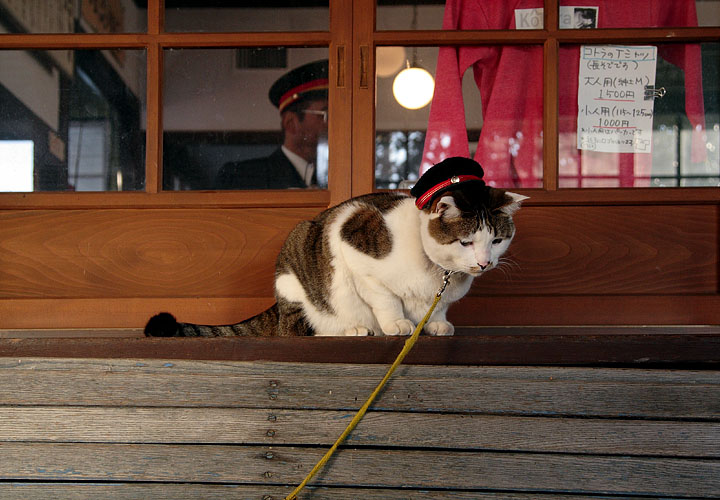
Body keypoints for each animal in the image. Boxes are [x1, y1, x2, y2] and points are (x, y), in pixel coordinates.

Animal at [145, 156, 528, 336]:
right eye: (466, 242)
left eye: (496, 240)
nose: (484, 263)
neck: (436, 275)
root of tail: (277, 306)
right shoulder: (354, 239)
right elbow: (386, 298)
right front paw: (397, 324)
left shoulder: (441, 297)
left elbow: (438, 310)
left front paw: (434, 324)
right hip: (298, 271)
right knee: (297, 330)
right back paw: (353, 329)